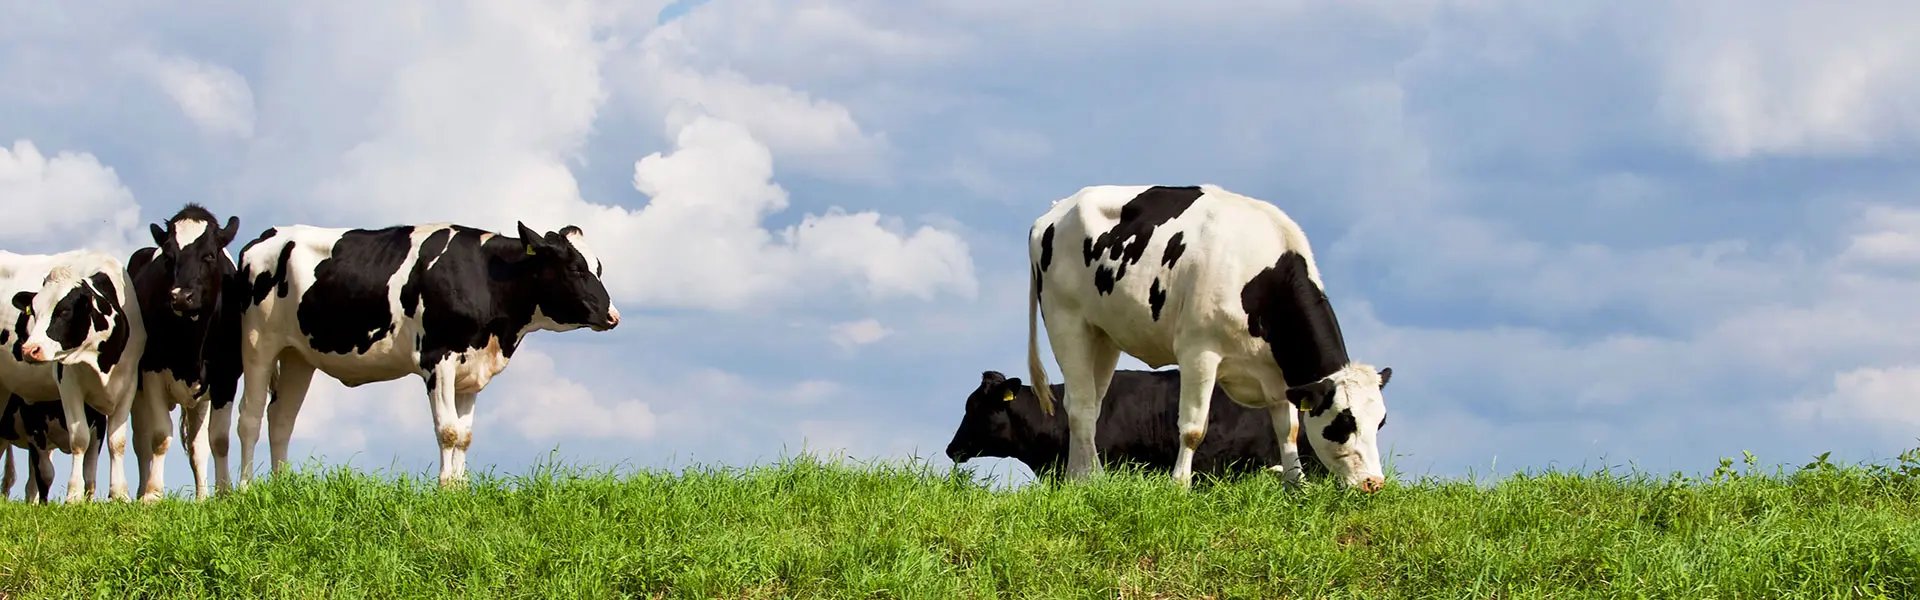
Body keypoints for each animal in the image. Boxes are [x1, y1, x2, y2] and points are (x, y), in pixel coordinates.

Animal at [1, 250, 147, 502]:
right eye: (34, 312)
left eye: (64, 311)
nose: (29, 349)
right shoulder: (68, 384)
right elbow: (79, 439)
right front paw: (74, 495)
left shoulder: (128, 383)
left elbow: (117, 442)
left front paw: (120, 493)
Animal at [125, 204, 245, 501]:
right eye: (169, 257)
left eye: (209, 255)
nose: (181, 296)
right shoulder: (151, 373)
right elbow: (159, 436)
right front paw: (152, 494)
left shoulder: (226, 377)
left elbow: (219, 439)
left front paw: (223, 492)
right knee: (141, 442)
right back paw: (140, 490)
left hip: (199, 400)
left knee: (196, 447)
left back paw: (201, 496)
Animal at [234, 222, 619, 488]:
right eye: (575, 268)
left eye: (599, 267)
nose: (612, 315)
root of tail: (267, 236)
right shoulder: (438, 358)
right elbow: (448, 430)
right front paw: (445, 489)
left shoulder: (470, 370)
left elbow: (464, 435)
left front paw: (461, 490)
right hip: (258, 343)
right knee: (250, 417)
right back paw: (245, 489)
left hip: (297, 355)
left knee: (281, 418)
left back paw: (281, 487)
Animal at [1026, 184, 1393, 491]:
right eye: (1344, 422)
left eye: (1380, 423)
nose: (1373, 483)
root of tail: (1056, 210)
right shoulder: (1198, 353)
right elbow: (1192, 428)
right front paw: (1179, 486)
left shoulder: (1276, 376)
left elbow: (1287, 429)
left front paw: (1296, 485)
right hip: (1066, 320)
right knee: (1080, 405)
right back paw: (1091, 478)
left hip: (1103, 334)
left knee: (1088, 404)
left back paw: (1080, 477)